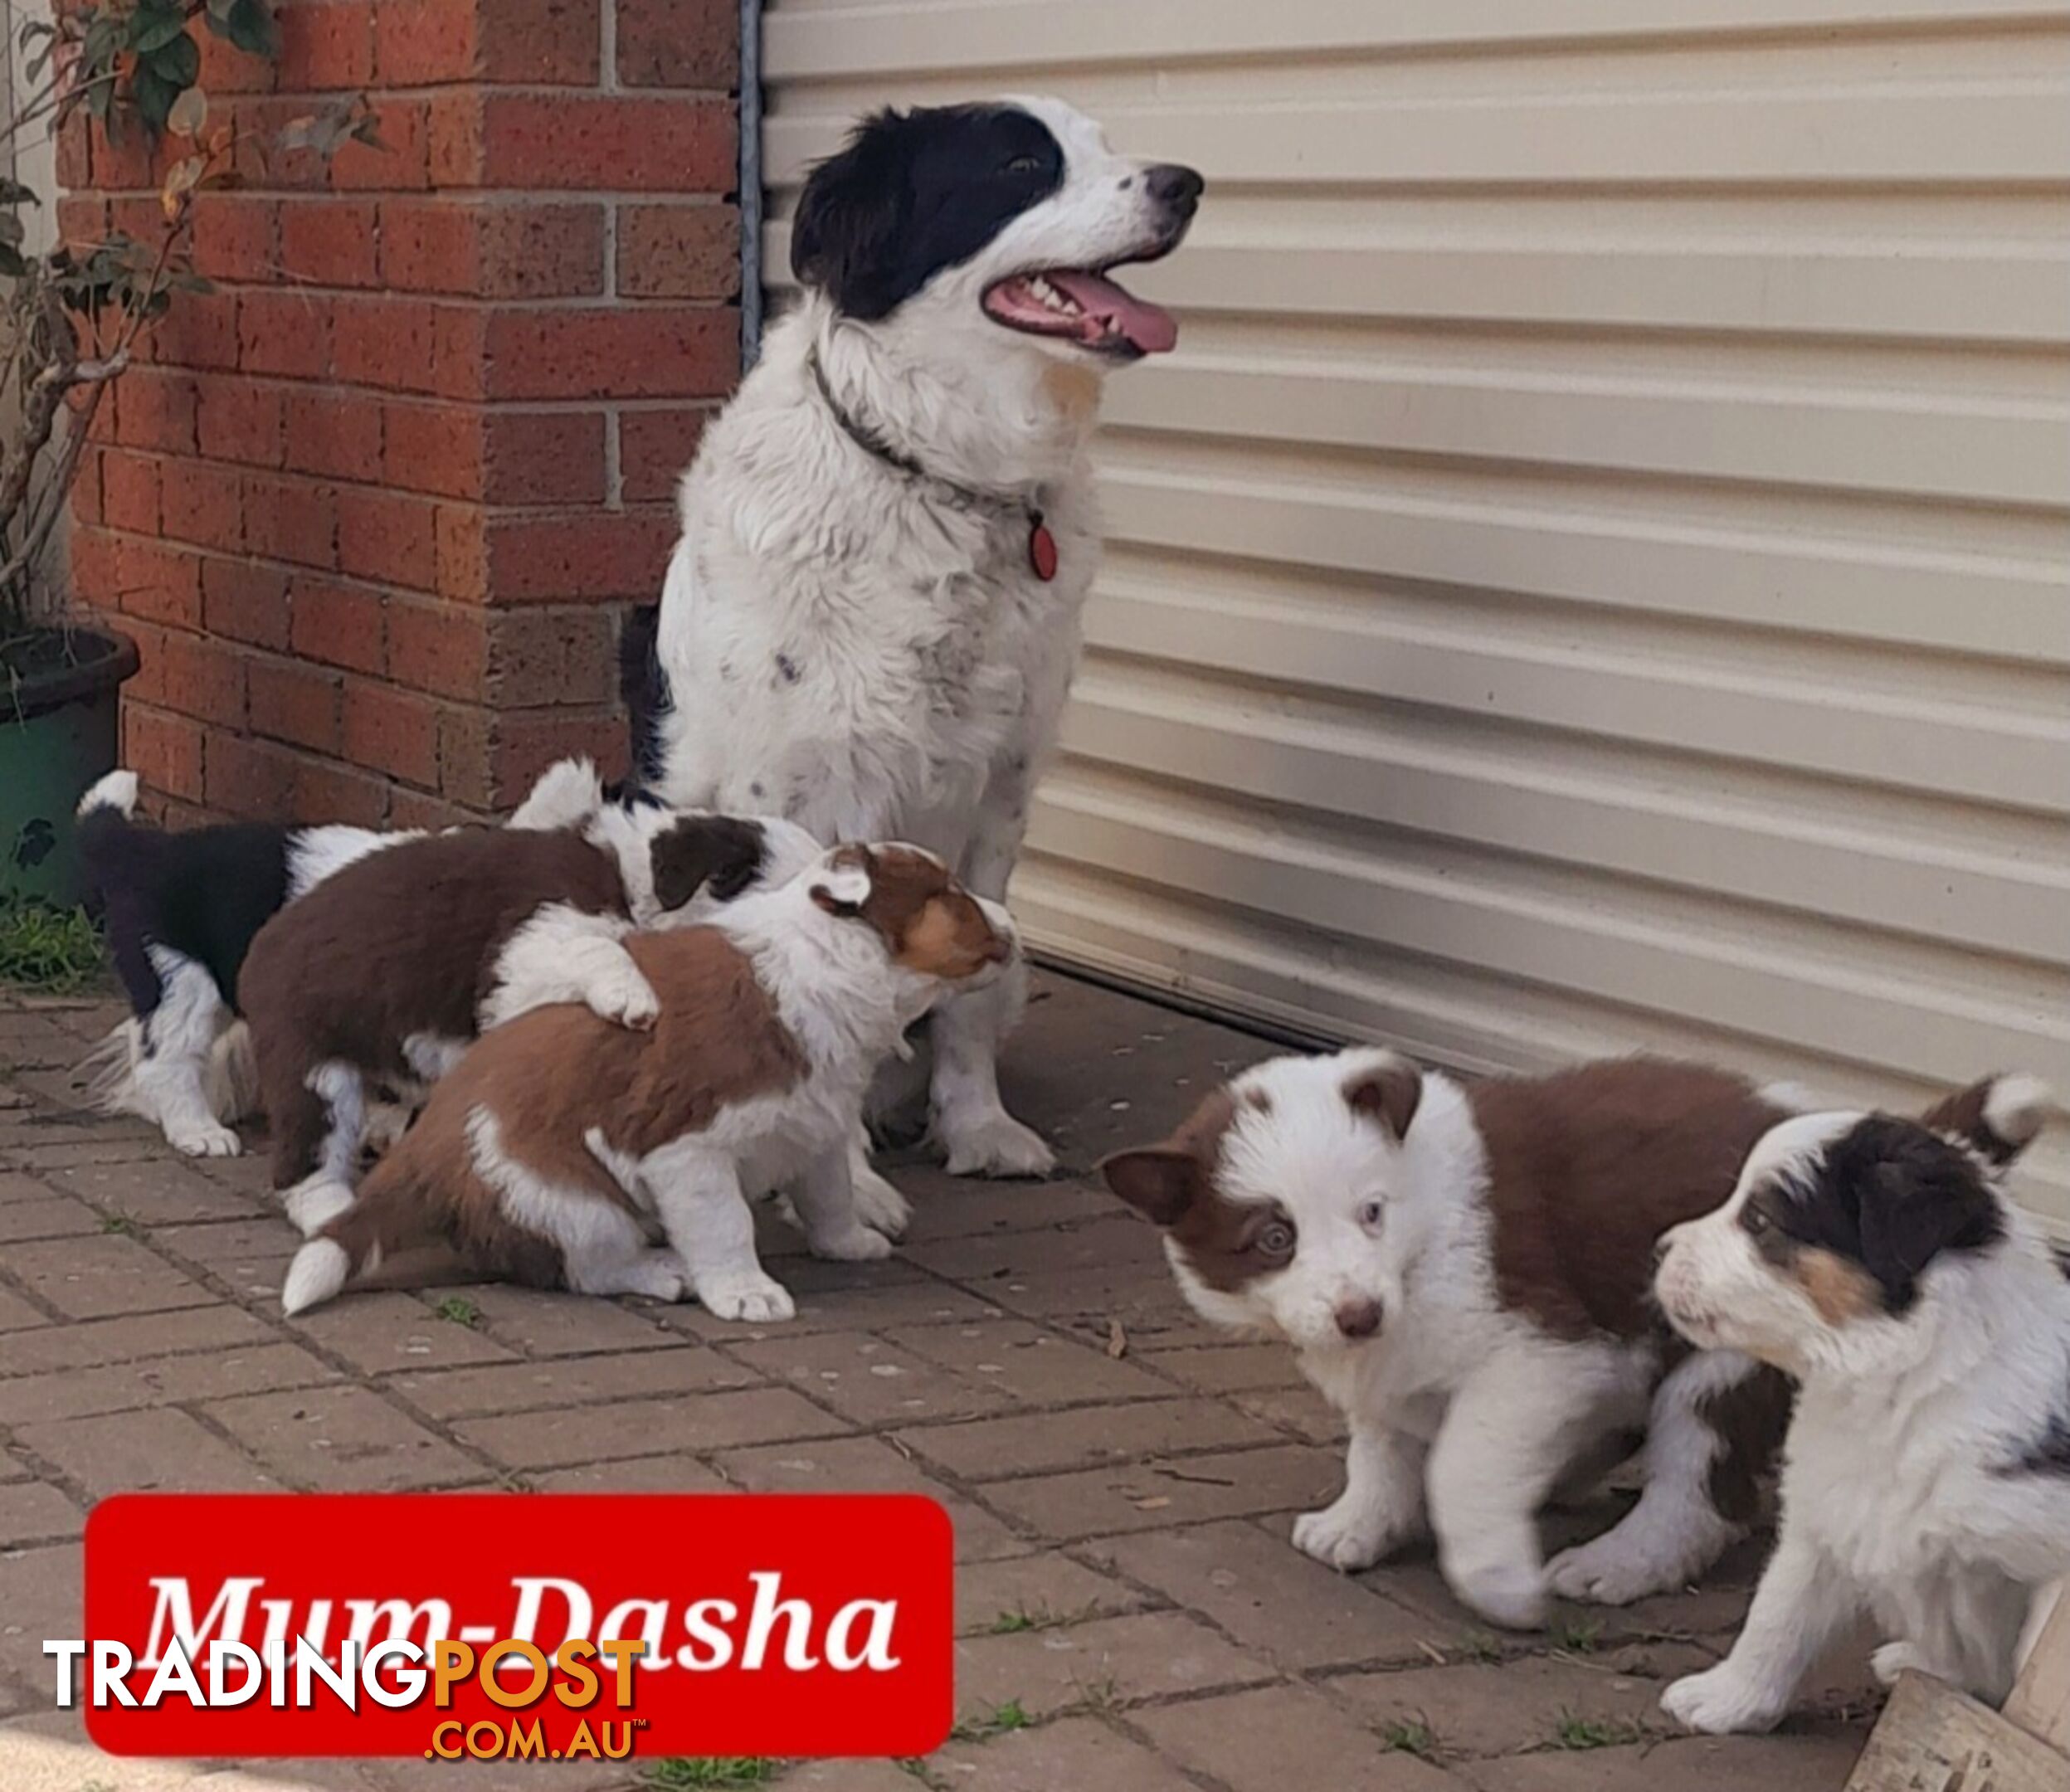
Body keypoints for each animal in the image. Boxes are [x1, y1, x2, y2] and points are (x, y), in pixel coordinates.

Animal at [281, 835, 1010, 1316]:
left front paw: (850, 1243)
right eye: (947, 892)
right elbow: (725, 1224)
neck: (818, 968)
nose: (1010, 919)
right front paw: (746, 1293)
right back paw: (666, 1273)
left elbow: (828, 1194)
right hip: (570, 1200)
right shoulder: (687, 1149)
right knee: (587, 1267)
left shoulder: (816, 1125)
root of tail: (421, 1154)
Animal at [637, 97, 1209, 1183]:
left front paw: (978, 1128)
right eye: (1021, 165)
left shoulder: (1002, 787)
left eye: (1107, 147)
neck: (941, 475)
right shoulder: (796, 783)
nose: (1187, 182)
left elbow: (971, 991)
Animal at [1639, 1068, 2062, 1721]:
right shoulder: (1824, 1509)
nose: (1657, 1249)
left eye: (1759, 1220)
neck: (1901, 1380)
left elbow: (2031, 1673)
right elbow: (1776, 1613)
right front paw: (1726, 1700)